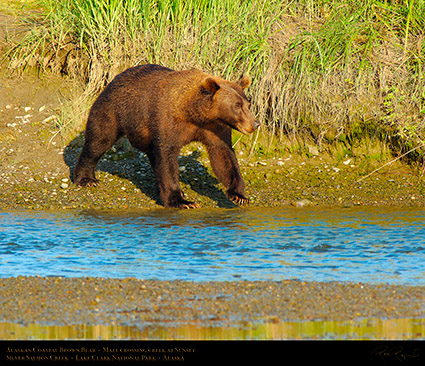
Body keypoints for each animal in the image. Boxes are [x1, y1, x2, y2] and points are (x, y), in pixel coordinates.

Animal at [73, 64, 258, 209]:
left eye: (247, 104)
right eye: (237, 106)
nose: (255, 123)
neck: (194, 114)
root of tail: (114, 78)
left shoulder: (215, 129)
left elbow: (223, 155)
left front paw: (239, 195)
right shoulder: (168, 120)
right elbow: (167, 156)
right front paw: (182, 201)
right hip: (113, 109)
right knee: (99, 140)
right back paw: (87, 178)